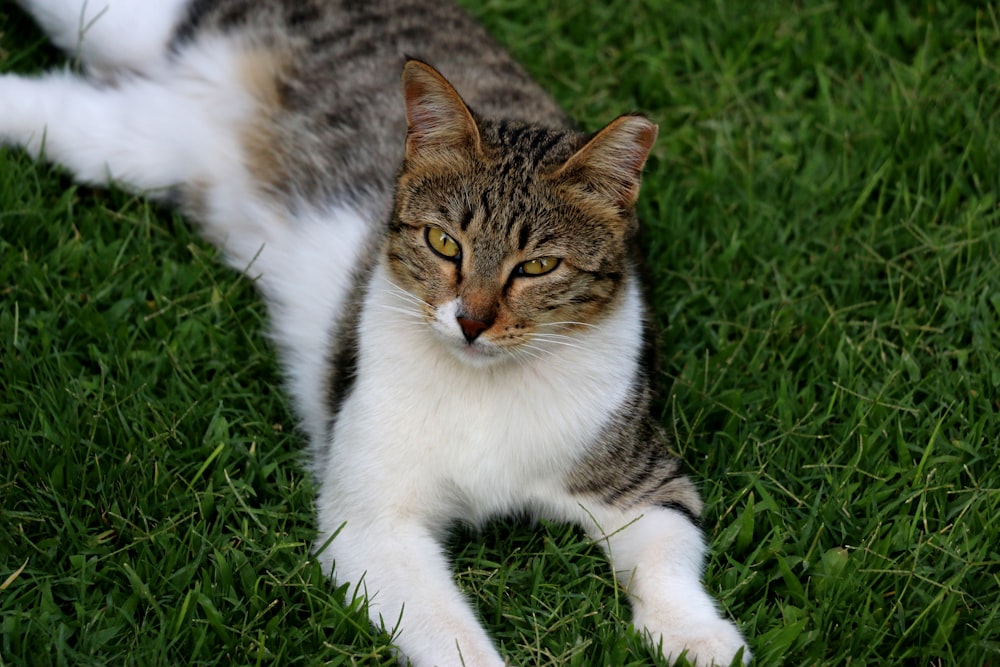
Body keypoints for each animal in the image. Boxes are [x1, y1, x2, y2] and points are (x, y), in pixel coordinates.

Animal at [0, 1, 752, 667]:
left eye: (538, 266)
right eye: (444, 242)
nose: (471, 320)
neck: (484, 384)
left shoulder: (642, 478)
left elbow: (669, 559)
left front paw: (699, 636)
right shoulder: (369, 524)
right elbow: (453, 639)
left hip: (128, 140)